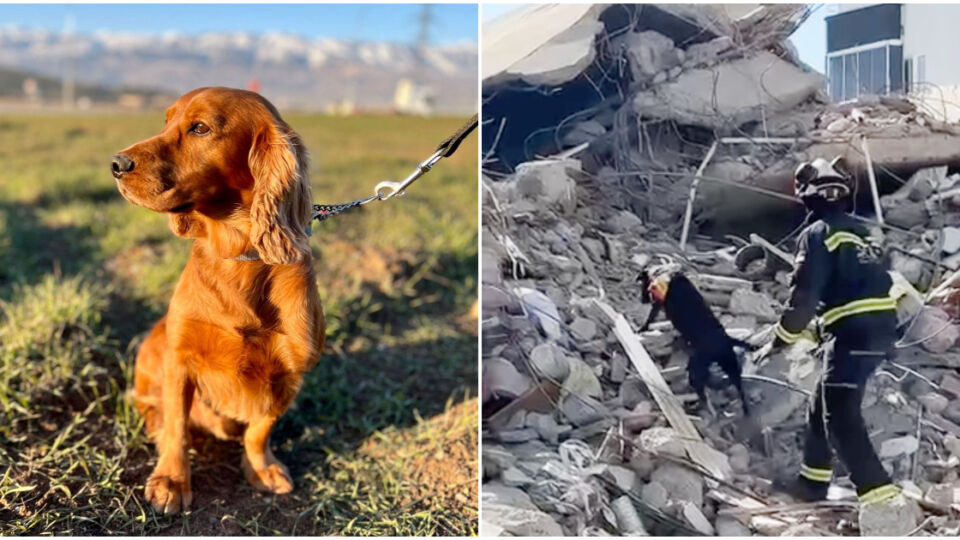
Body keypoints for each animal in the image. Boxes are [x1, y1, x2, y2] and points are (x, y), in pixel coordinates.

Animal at [112, 86, 326, 512]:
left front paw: (261, 468)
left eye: (200, 128)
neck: (238, 256)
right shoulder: (180, 359)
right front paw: (171, 480)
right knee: (148, 406)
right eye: (166, 122)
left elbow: (259, 430)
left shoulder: (291, 374)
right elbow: (177, 426)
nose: (116, 163)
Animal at [640, 268, 752, 416]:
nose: (642, 299)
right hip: (728, 364)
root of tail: (727, 340)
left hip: (699, 368)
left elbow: (651, 316)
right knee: (737, 386)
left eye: (643, 287)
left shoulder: (661, 304)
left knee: (702, 389)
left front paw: (642, 328)